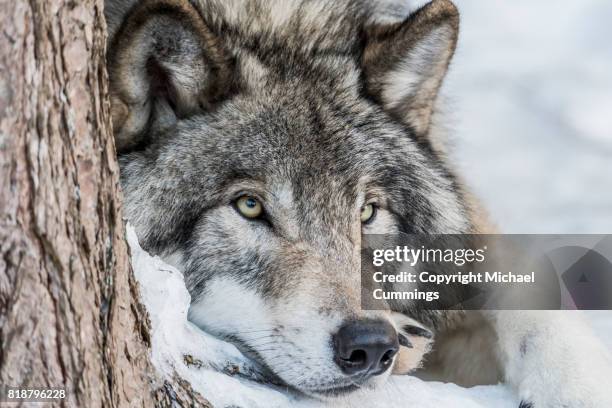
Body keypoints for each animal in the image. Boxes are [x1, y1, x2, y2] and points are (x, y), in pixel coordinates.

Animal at [105, 0, 612, 404]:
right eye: (249, 206)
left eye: (366, 212)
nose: (370, 344)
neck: (276, 25)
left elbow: (528, 291)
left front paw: (581, 388)